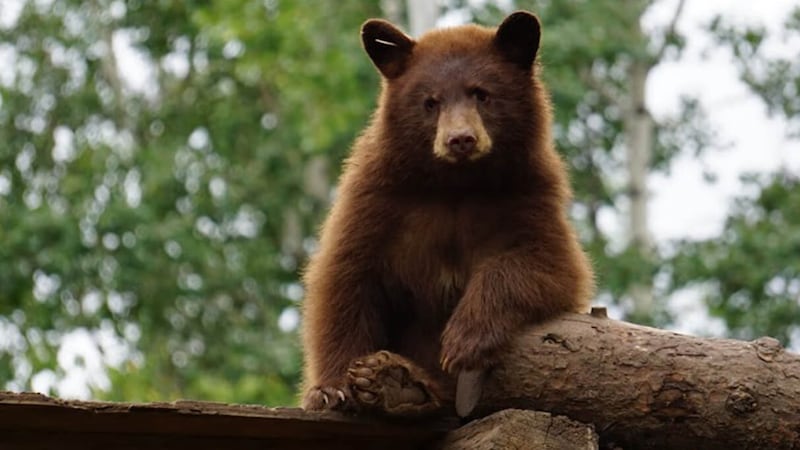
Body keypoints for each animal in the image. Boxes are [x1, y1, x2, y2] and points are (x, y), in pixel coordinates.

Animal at [300, 10, 594, 417]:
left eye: (482, 94)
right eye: (430, 102)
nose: (460, 139)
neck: (455, 184)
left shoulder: (528, 195)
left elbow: (548, 263)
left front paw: (464, 341)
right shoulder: (376, 201)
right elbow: (346, 279)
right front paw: (332, 389)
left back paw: (402, 383)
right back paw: (394, 382)